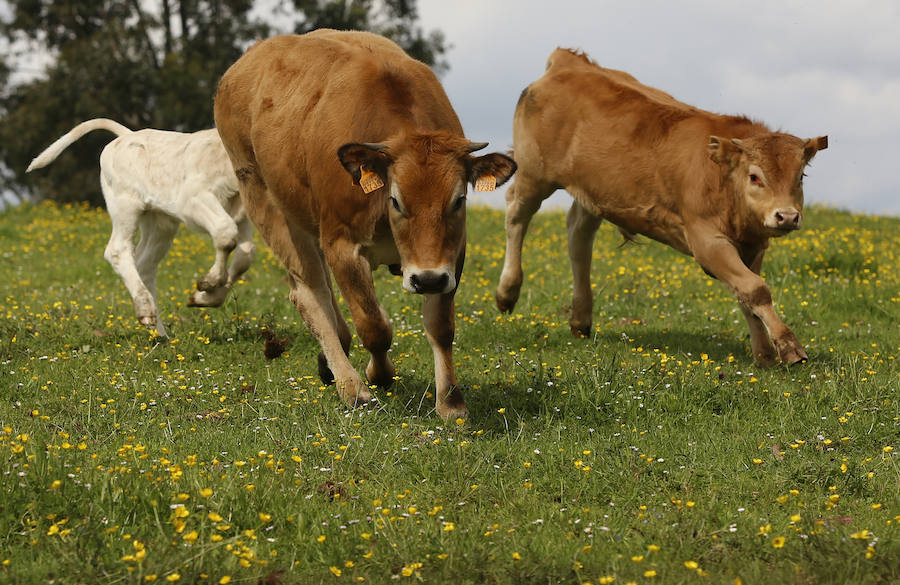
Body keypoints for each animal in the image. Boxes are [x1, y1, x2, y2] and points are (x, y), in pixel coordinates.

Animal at [27, 117, 253, 338]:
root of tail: (127, 135)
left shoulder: (241, 215)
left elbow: (245, 256)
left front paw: (207, 296)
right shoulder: (193, 198)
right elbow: (225, 233)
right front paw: (210, 282)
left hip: (160, 222)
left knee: (145, 264)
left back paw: (160, 334)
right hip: (125, 205)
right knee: (118, 250)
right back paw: (145, 310)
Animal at [214, 32, 516, 418]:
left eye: (459, 200)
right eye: (396, 200)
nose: (427, 280)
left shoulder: (451, 256)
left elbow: (440, 326)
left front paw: (450, 402)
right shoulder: (342, 245)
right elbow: (374, 326)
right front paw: (377, 375)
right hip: (266, 203)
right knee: (310, 294)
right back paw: (350, 385)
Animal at [496, 49, 828, 364]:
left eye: (800, 176)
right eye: (755, 176)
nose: (787, 216)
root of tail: (570, 62)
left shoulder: (753, 247)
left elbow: (747, 296)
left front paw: (764, 354)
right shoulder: (706, 241)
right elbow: (755, 289)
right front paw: (789, 347)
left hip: (593, 191)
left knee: (578, 237)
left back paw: (581, 318)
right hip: (533, 173)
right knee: (516, 215)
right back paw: (507, 292)